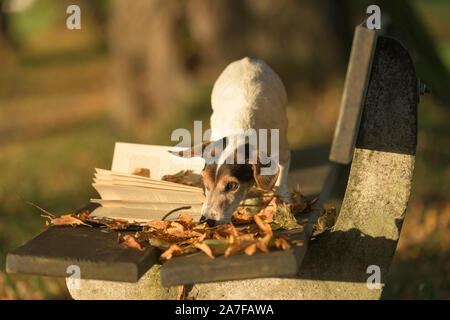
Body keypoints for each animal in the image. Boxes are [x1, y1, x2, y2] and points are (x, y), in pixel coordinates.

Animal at [172, 57, 292, 228]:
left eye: (232, 186)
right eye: (205, 182)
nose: (206, 220)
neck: (241, 129)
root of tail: (248, 59)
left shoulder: (282, 151)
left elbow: (281, 178)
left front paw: (284, 199)